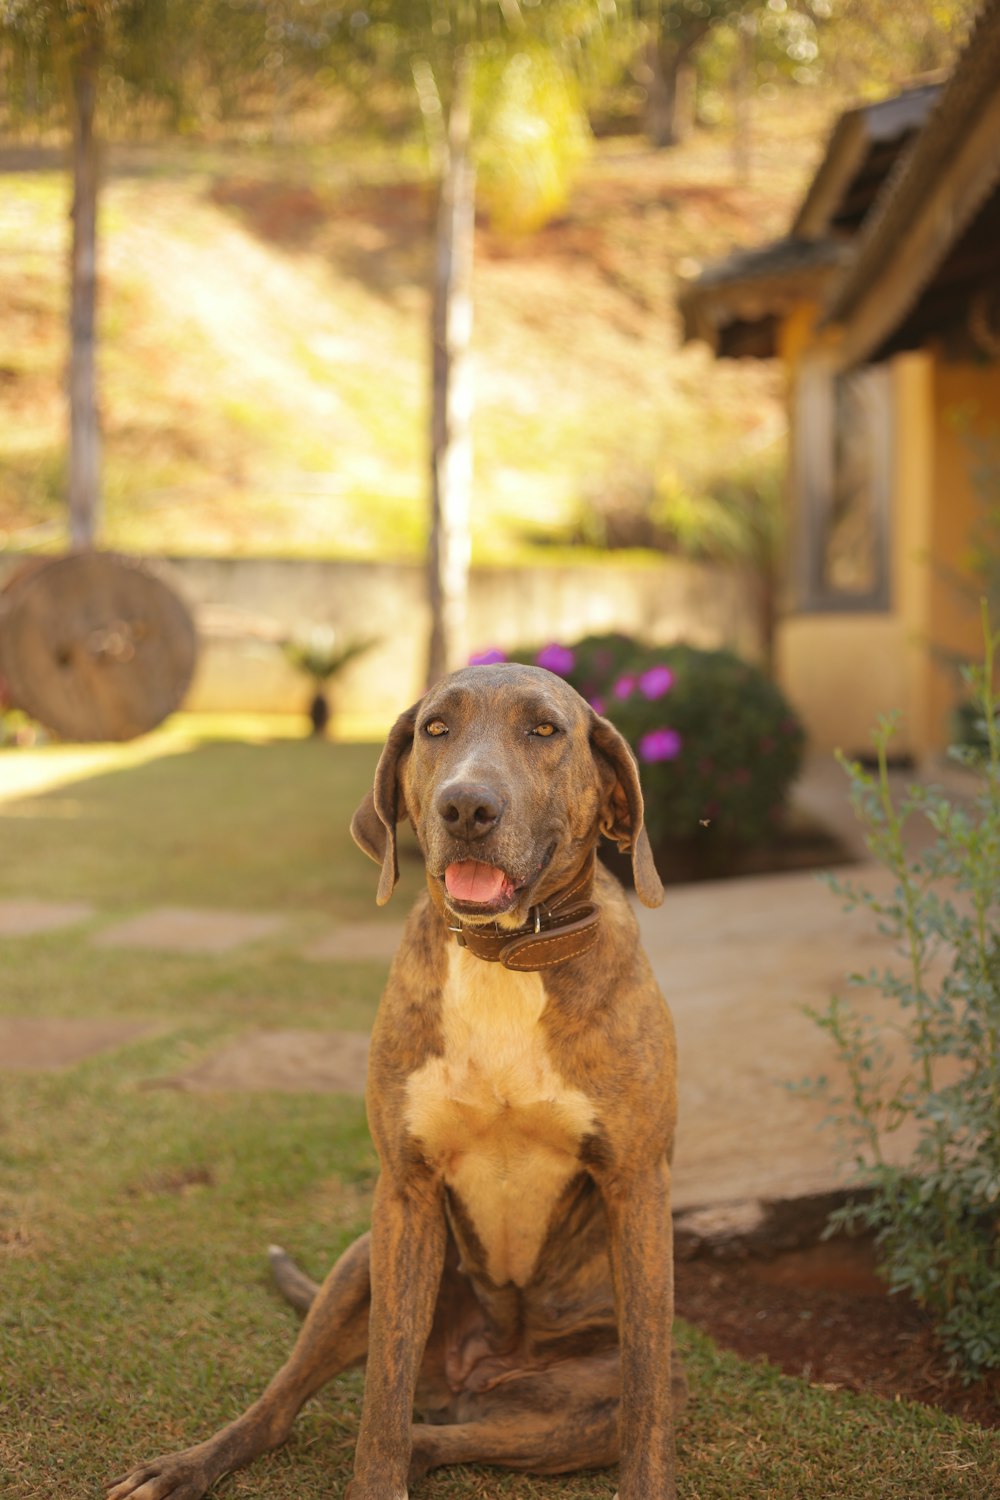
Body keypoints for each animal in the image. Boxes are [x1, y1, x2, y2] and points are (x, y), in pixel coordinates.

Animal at [111, 669, 689, 1500]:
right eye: (436, 728)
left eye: (545, 730)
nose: (466, 807)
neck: (502, 957)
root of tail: (473, 1375)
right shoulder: (406, 1191)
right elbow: (382, 1395)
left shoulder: (637, 1187)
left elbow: (644, 1404)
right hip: (360, 1262)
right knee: (287, 1409)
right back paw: (187, 1466)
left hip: (587, 1404)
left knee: (463, 1434)